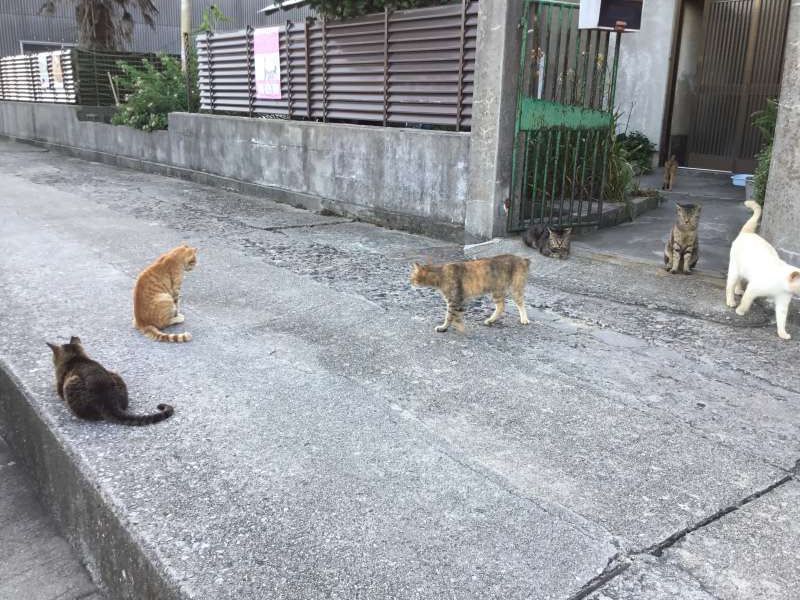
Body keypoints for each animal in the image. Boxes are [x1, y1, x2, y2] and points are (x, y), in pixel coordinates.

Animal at [724, 200, 800, 340]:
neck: (781, 286)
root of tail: (747, 233)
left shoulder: (782, 301)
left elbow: (781, 319)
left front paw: (782, 333)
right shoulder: (753, 288)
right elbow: (746, 302)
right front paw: (740, 311)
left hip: (743, 270)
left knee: (739, 281)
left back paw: (738, 290)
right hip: (735, 269)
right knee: (730, 286)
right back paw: (731, 301)